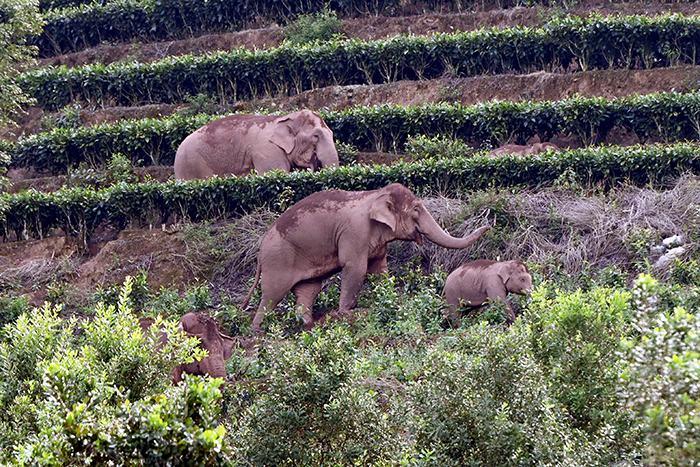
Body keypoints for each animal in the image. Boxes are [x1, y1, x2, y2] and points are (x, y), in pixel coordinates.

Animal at [243, 182, 490, 332]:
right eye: (416, 210)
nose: (488, 224)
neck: (376, 194)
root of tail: (260, 249)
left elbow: (379, 271)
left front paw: (391, 301)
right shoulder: (354, 232)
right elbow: (355, 268)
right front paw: (346, 313)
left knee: (308, 289)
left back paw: (307, 325)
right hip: (278, 260)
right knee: (272, 296)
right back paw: (257, 332)